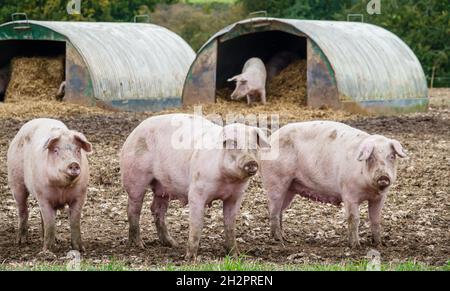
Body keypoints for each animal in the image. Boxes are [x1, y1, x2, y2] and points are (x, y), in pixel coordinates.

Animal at [7, 117, 92, 254]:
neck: (62, 187)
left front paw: (80, 249)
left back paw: (56, 240)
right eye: (56, 150)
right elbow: (50, 223)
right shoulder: (43, 196)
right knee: (23, 210)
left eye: (78, 150)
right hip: (16, 182)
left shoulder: (80, 195)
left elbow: (75, 221)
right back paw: (21, 241)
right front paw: (47, 251)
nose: (73, 163)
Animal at [119, 113, 268, 260]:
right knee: (133, 208)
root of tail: (135, 131)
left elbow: (230, 224)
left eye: (254, 147)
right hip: (134, 177)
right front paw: (190, 258)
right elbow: (196, 225)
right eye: (235, 146)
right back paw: (139, 245)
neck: (228, 181)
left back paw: (172, 243)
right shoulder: (196, 192)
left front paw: (235, 255)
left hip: (162, 186)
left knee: (157, 209)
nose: (251, 162)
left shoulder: (236, 196)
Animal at [258, 121, 406, 249]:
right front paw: (356, 246)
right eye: (371, 157)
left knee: (280, 211)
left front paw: (379, 244)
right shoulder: (349, 193)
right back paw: (279, 240)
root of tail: (270, 138)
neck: (369, 189)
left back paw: (285, 237)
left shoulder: (379, 197)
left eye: (392, 156)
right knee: (273, 211)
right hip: (275, 181)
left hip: (290, 187)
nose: (383, 177)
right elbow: (354, 219)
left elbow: (375, 219)